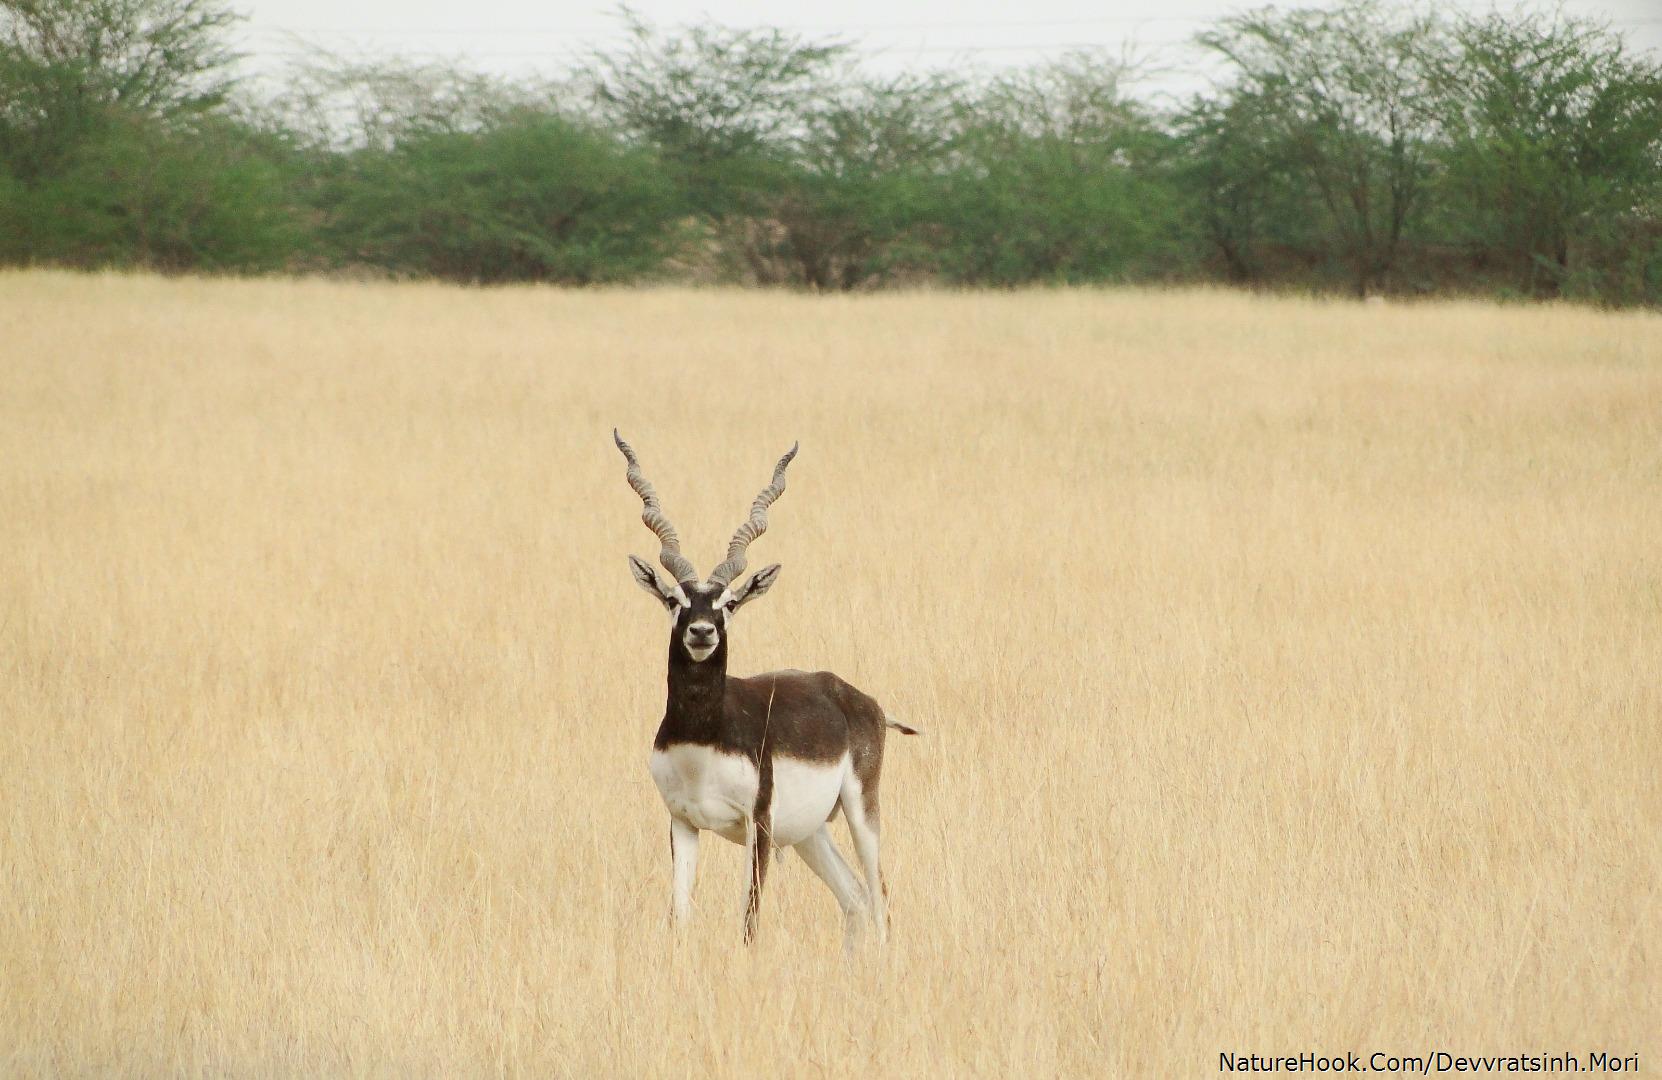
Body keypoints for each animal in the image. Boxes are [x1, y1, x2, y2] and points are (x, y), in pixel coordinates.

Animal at [614, 428, 917, 943]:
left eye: (730, 603)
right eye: (674, 600)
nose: (702, 632)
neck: (702, 737)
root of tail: (859, 699)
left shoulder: (759, 822)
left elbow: (749, 921)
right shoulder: (682, 822)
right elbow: (680, 916)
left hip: (861, 810)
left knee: (880, 901)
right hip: (811, 832)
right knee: (854, 898)